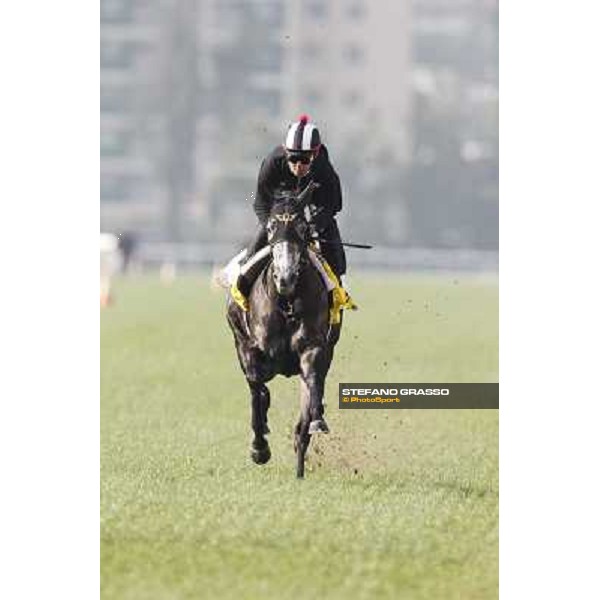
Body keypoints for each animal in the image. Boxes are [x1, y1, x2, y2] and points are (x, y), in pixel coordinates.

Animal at [225, 183, 340, 478]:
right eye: (270, 227)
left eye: (302, 226)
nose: (285, 277)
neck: (287, 301)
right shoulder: (253, 350)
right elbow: (256, 392)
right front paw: (259, 449)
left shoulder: (314, 348)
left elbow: (312, 385)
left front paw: (315, 421)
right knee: (257, 389)